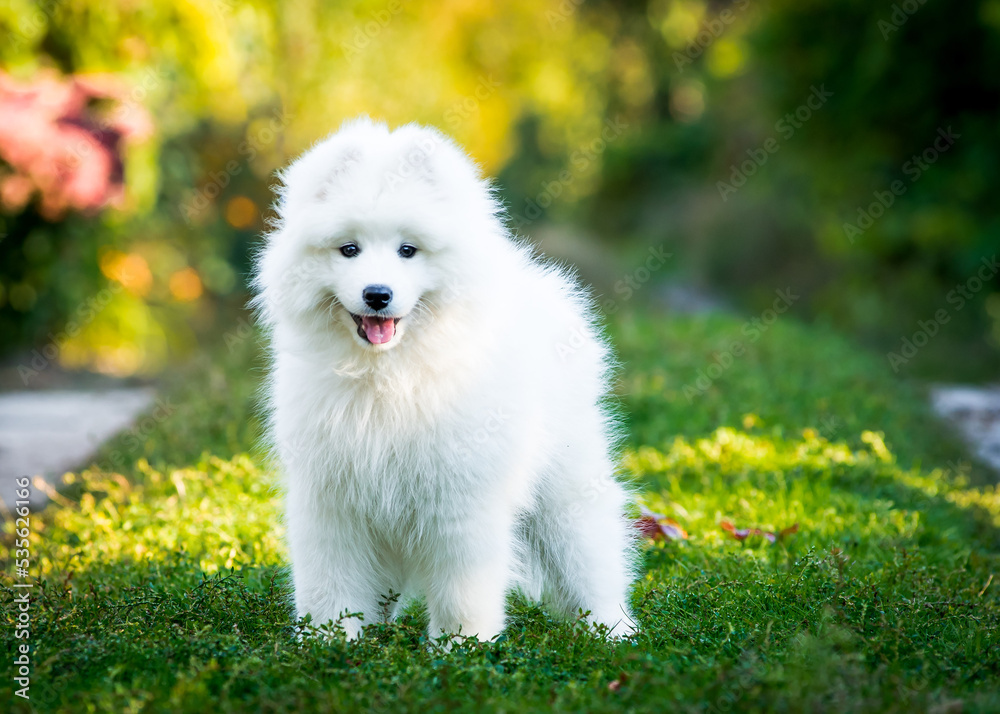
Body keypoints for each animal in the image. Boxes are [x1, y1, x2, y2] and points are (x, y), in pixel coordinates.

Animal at [254, 117, 636, 640]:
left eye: (407, 251)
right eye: (349, 249)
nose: (377, 294)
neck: (388, 376)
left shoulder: (458, 499)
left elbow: (462, 589)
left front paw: (462, 646)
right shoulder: (332, 498)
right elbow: (329, 583)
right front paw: (329, 642)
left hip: (566, 496)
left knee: (592, 563)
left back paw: (614, 631)